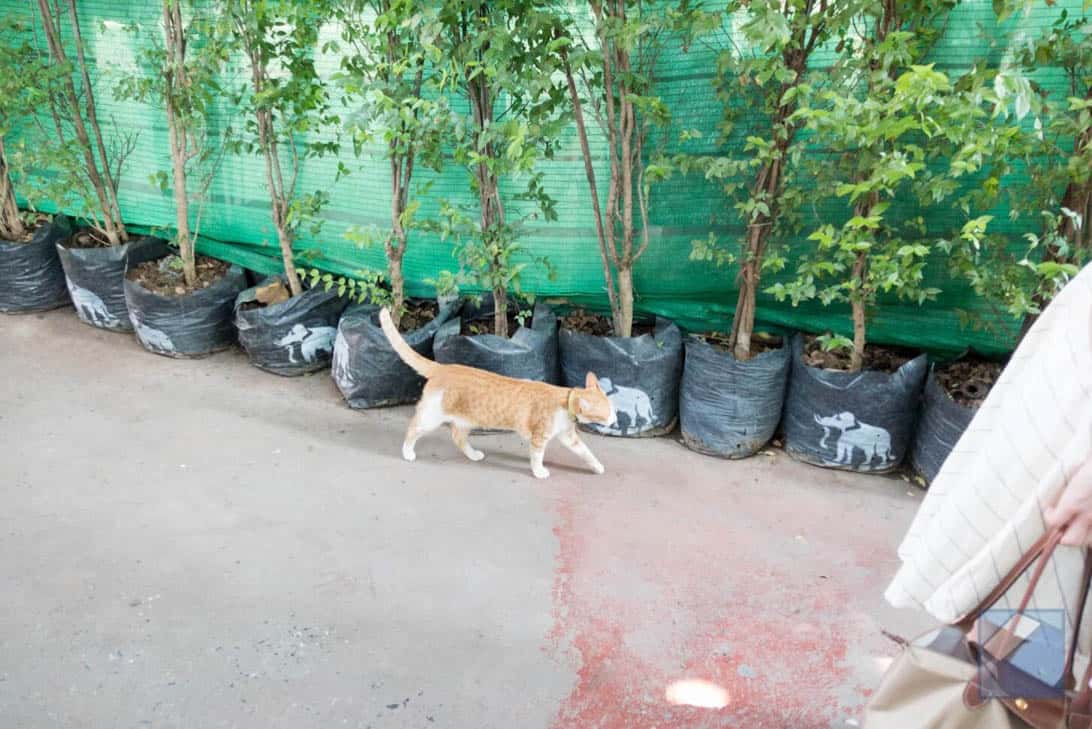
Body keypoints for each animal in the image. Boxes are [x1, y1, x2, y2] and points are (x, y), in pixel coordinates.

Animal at [380, 307, 615, 477]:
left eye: (613, 409)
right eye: (607, 412)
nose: (614, 419)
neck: (565, 402)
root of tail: (444, 367)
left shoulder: (568, 437)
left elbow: (586, 452)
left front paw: (597, 466)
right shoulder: (539, 438)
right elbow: (536, 457)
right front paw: (539, 472)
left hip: (467, 420)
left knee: (457, 437)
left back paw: (473, 455)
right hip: (432, 417)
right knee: (413, 427)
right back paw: (407, 452)